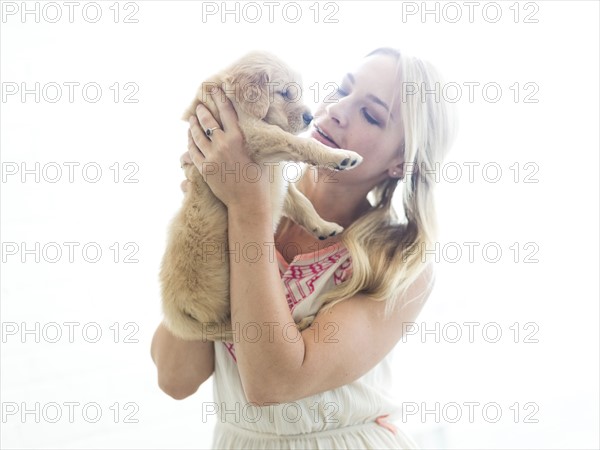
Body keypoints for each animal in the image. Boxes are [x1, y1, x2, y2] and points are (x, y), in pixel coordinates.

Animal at [159, 51, 360, 342]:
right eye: (285, 93)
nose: (310, 117)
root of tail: (174, 315)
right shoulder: (254, 134)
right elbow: (300, 142)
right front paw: (342, 157)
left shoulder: (276, 178)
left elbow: (300, 200)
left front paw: (323, 227)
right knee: (236, 331)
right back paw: (300, 323)